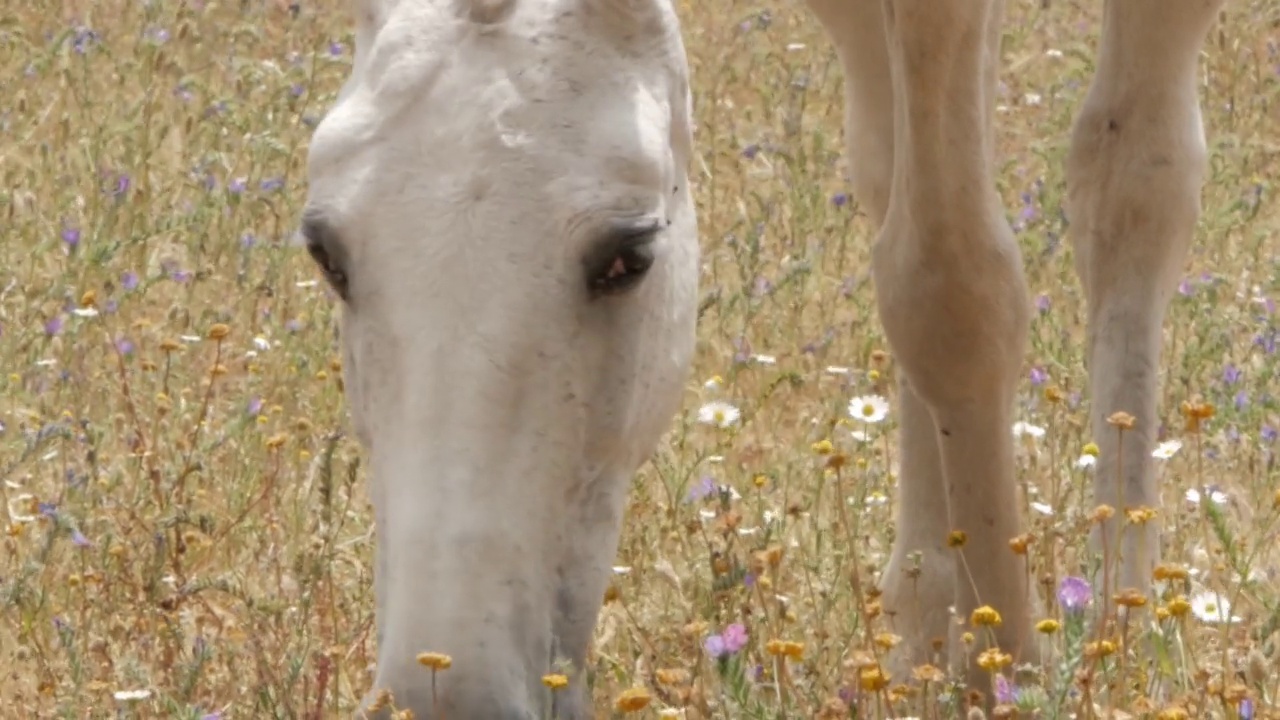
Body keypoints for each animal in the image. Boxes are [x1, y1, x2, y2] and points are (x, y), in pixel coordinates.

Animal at [296, 0, 1218, 712]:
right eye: (326, 254)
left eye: (628, 256)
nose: (444, 692)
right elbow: (902, 219)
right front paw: (938, 623)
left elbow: (952, 288)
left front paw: (1006, 665)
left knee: (1130, 177)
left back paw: (1121, 604)